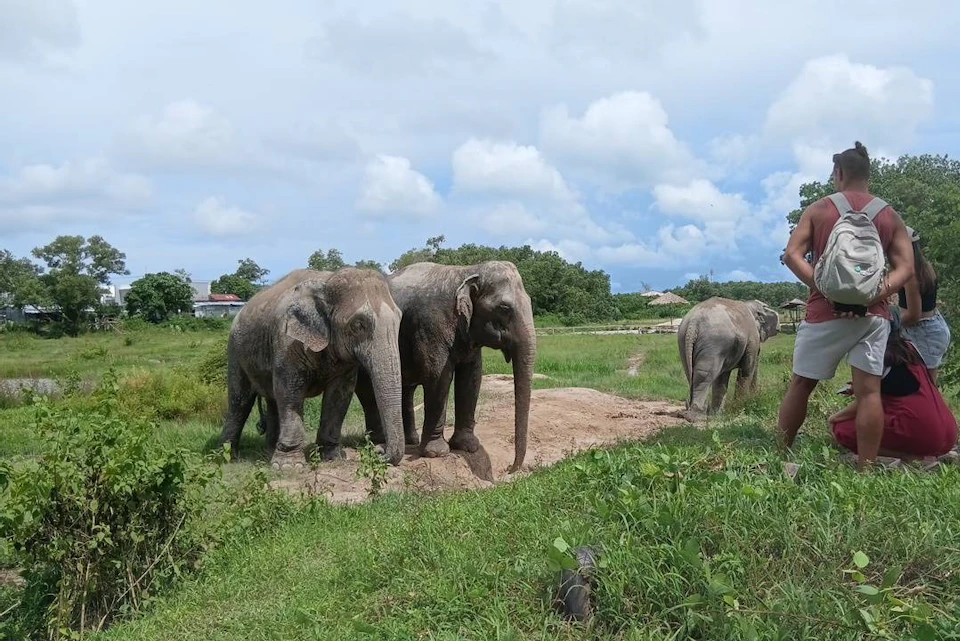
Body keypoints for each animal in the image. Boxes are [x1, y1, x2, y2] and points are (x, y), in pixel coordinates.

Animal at [215, 267, 405, 469]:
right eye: (358, 325)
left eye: (399, 319)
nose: (379, 450)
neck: (327, 281)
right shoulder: (286, 342)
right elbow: (289, 392)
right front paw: (288, 466)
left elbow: (340, 394)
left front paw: (332, 457)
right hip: (234, 350)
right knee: (239, 401)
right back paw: (226, 458)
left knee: (271, 401)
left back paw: (269, 451)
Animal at [349, 260, 536, 473]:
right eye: (504, 308)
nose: (510, 469)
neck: (467, 271)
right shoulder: (430, 326)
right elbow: (439, 376)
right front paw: (436, 453)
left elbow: (472, 376)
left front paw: (468, 446)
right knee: (367, 390)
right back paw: (379, 443)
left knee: (405, 390)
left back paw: (410, 441)